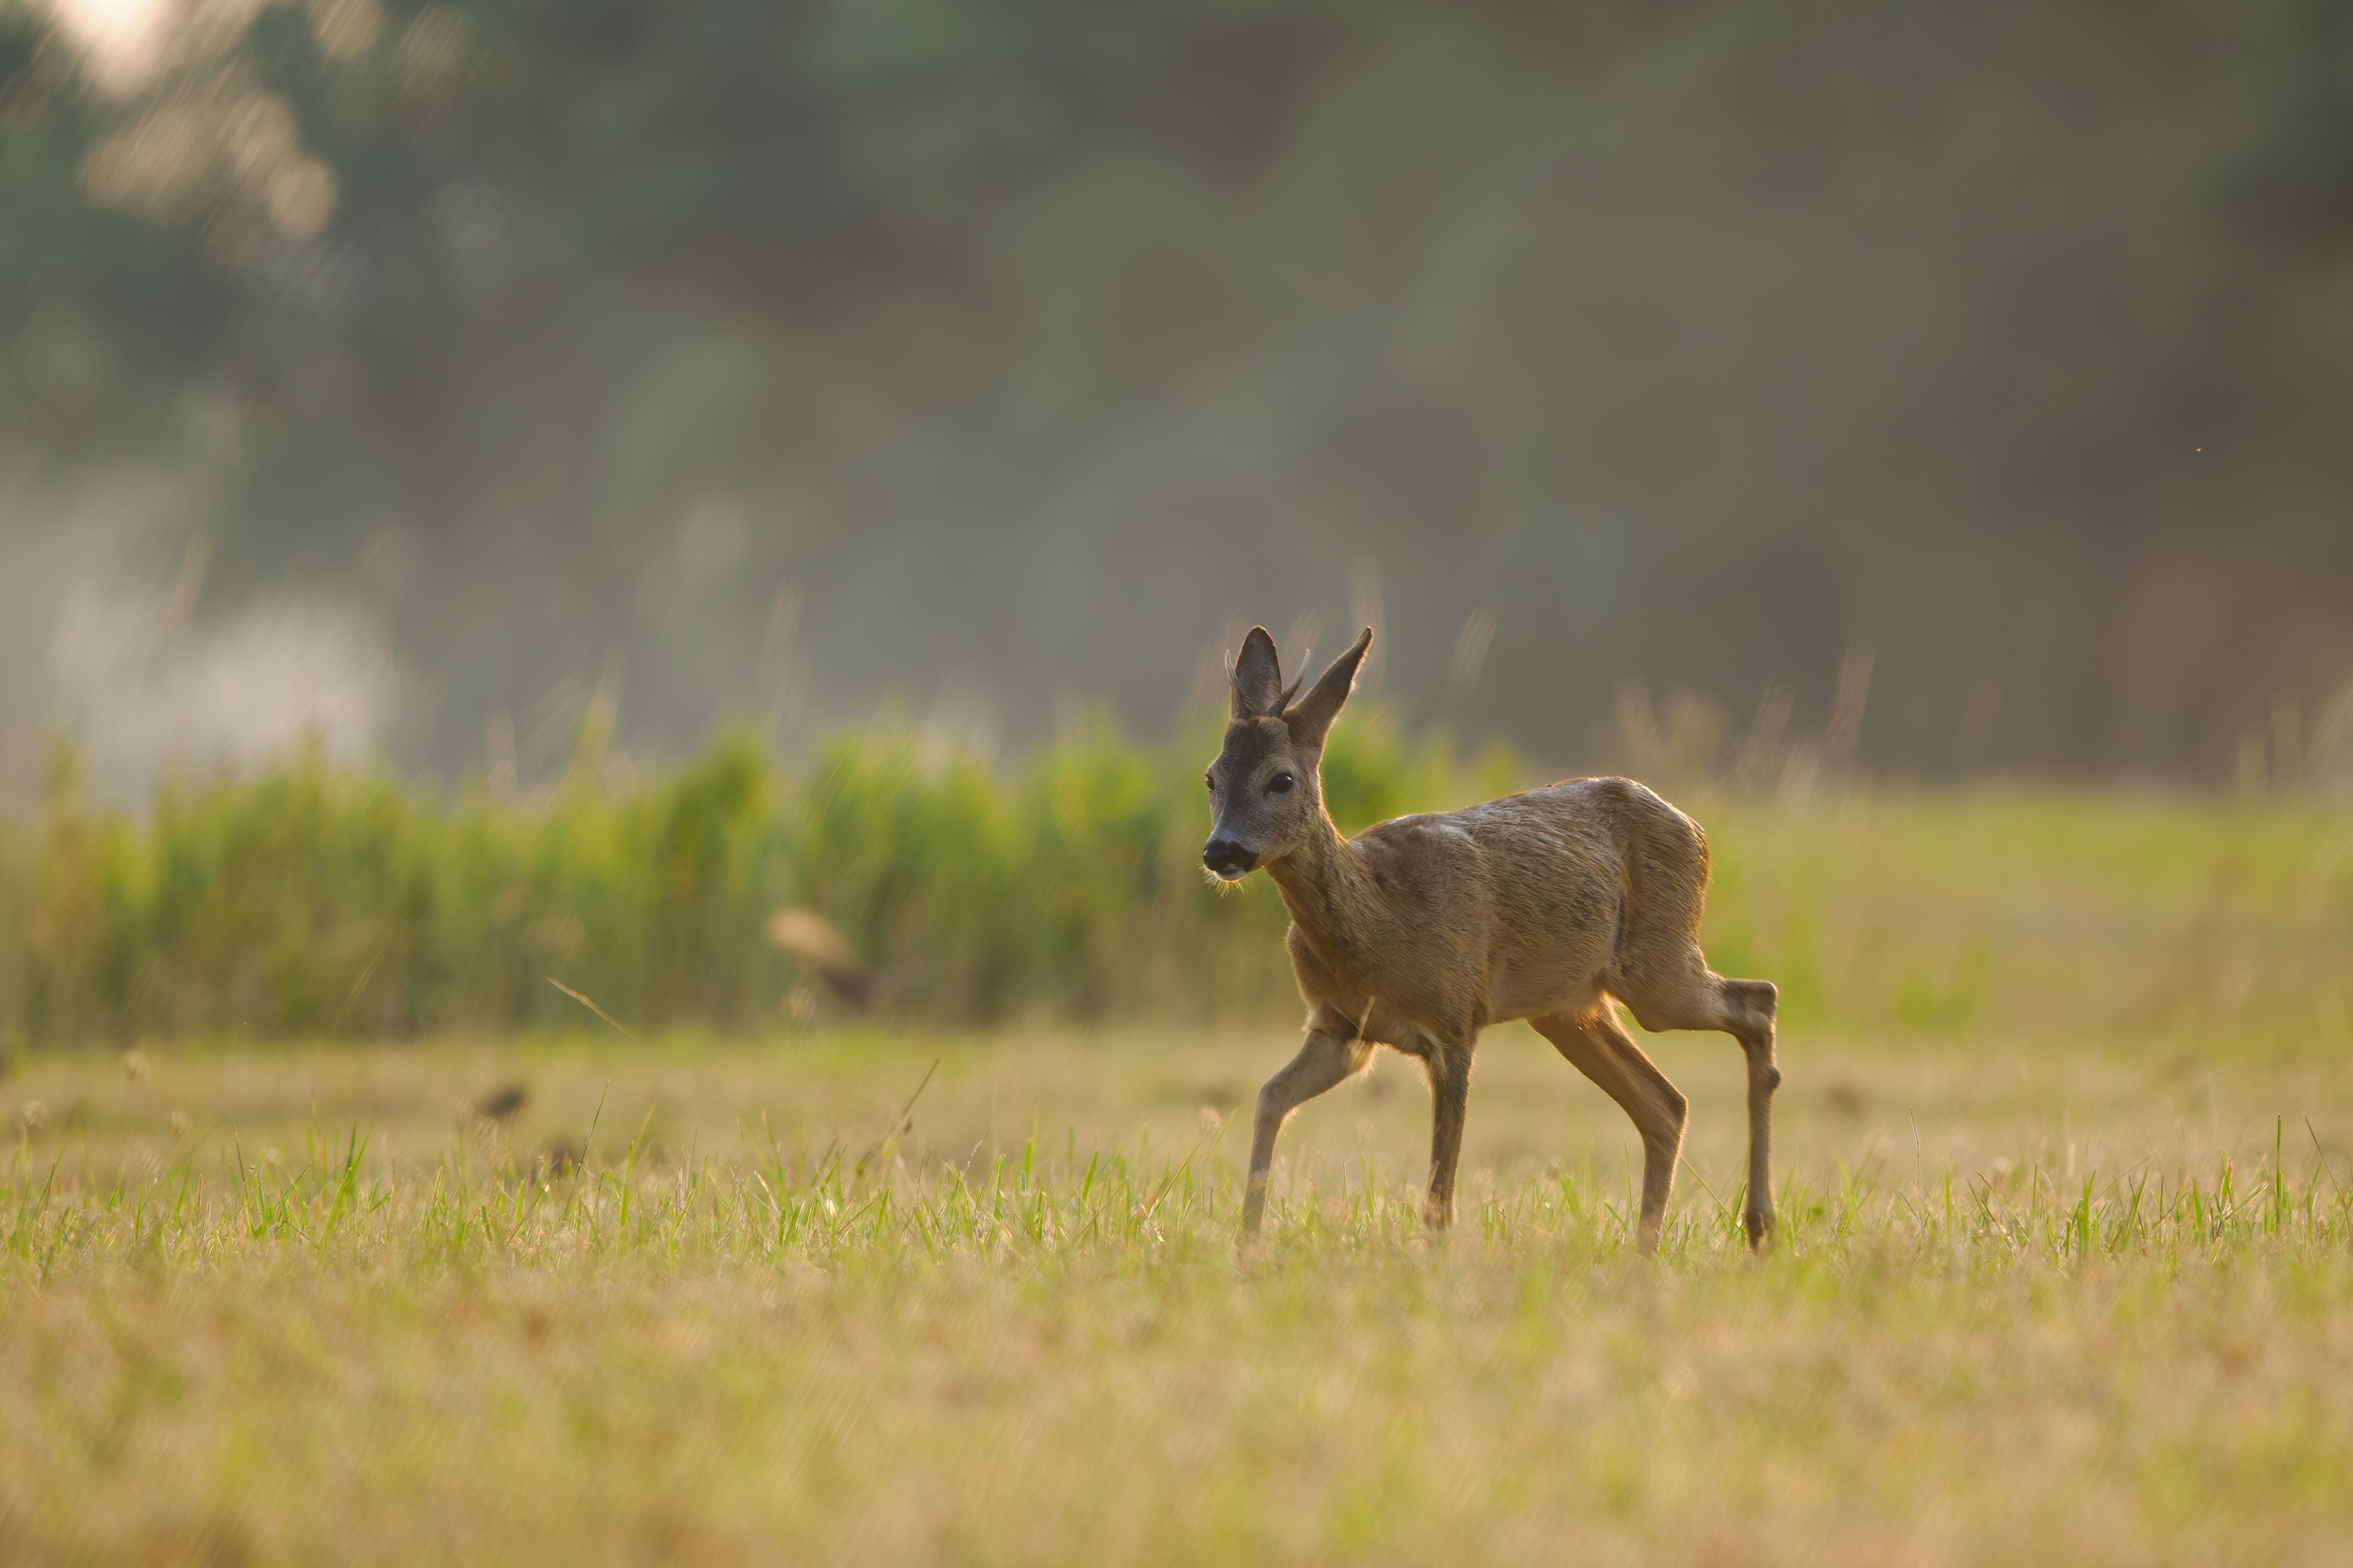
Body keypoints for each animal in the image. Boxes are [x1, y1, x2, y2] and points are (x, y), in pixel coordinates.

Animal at [1214, 625, 1779, 1250]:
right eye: (1212, 778)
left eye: (1281, 779)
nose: (1220, 850)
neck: (1381, 925)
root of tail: (1696, 831)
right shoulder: (1340, 1030)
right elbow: (1269, 1098)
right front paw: (1246, 1245)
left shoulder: (1454, 1021)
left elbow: (1441, 1194)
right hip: (1569, 1009)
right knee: (1666, 1103)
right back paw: (1648, 1250)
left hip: (1657, 970)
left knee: (1758, 1001)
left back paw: (1757, 1226)